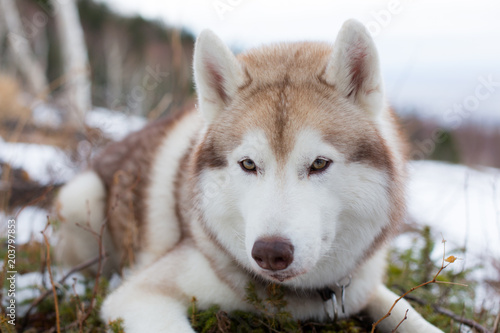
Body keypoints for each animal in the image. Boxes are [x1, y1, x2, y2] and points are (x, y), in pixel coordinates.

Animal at [55, 19, 442, 330]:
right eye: (248, 164)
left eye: (319, 164)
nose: (270, 252)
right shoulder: (138, 296)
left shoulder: (363, 284)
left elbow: (411, 315)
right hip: (80, 198)